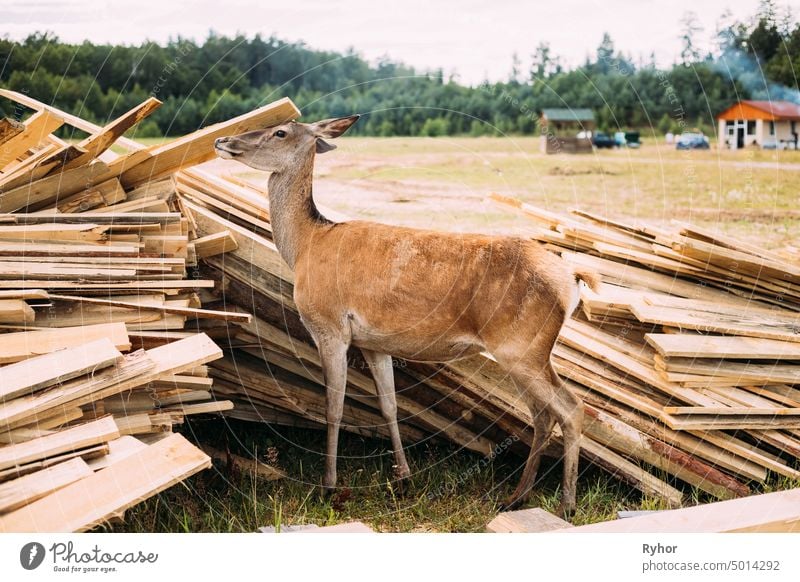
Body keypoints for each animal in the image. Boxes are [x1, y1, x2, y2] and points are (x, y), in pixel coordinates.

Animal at [214, 116, 600, 516]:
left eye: (280, 131)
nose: (221, 140)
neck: (307, 244)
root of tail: (572, 278)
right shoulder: (374, 343)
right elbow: (389, 406)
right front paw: (403, 478)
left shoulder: (329, 326)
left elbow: (333, 407)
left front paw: (328, 486)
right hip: (530, 352)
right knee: (542, 414)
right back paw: (517, 496)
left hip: (520, 347)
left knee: (571, 408)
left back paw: (567, 504)